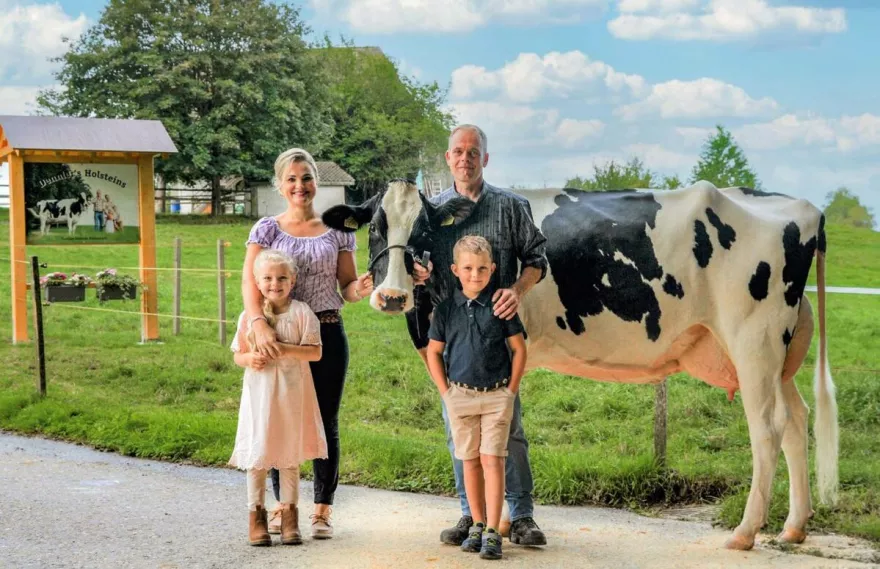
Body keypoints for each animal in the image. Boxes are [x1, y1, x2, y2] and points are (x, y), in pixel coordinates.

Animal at [324, 179, 840, 552]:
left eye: (423, 231)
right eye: (375, 228)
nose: (392, 296)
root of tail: (805, 208)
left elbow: (496, 440)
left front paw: (500, 526)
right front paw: (498, 524)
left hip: (754, 341)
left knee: (767, 429)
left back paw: (746, 532)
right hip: (779, 354)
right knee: (797, 420)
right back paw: (794, 527)